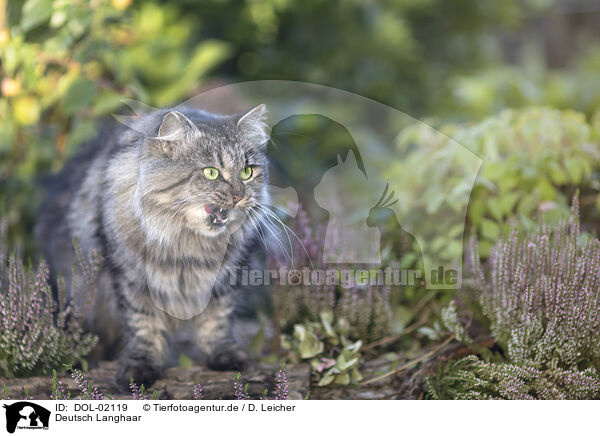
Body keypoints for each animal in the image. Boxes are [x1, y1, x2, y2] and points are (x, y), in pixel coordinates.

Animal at [36, 103, 270, 388]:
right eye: (211, 172)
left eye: (247, 172)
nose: (239, 196)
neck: (188, 249)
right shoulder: (132, 277)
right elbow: (143, 326)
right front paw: (139, 368)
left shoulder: (226, 277)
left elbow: (217, 322)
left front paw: (225, 356)